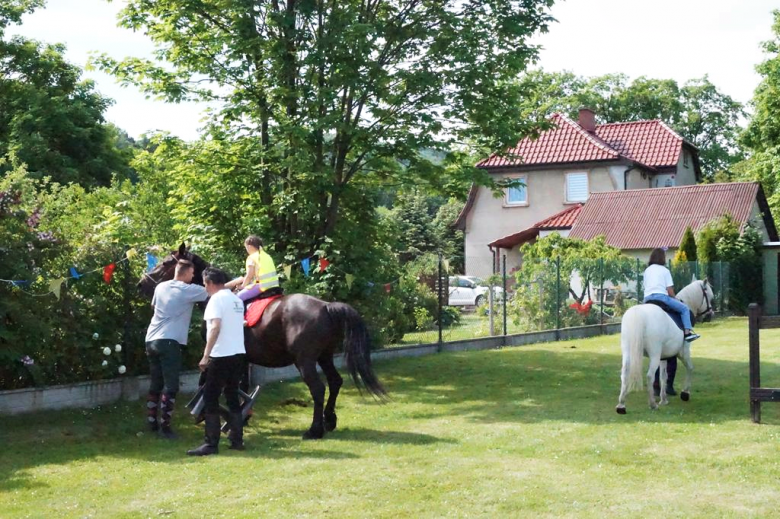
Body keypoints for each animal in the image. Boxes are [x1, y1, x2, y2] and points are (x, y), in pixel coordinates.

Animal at [139, 246, 386, 440]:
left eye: (165, 262)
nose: (142, 283)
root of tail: (326, 306)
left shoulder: (219, 355)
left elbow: (208, 383)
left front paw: (207, 414)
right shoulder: (242, 359)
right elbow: (242, 387)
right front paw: (241, 417)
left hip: (305, 361)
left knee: (318, 388)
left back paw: (314, 430)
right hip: (324, 356)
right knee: (335, 382)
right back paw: (329, 420)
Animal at [616, 280, 712, 414]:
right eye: (709, 297)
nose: (710, 315)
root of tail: (638, 313)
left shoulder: (664, 357)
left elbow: (663, 376)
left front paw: (663, 399)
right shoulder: (683, 352)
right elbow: (690, 368)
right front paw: (685, 393)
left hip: (628, 351)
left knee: (625, 373)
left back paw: (621, 405)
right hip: (655, 355)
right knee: (649, 376)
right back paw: (652, 404)